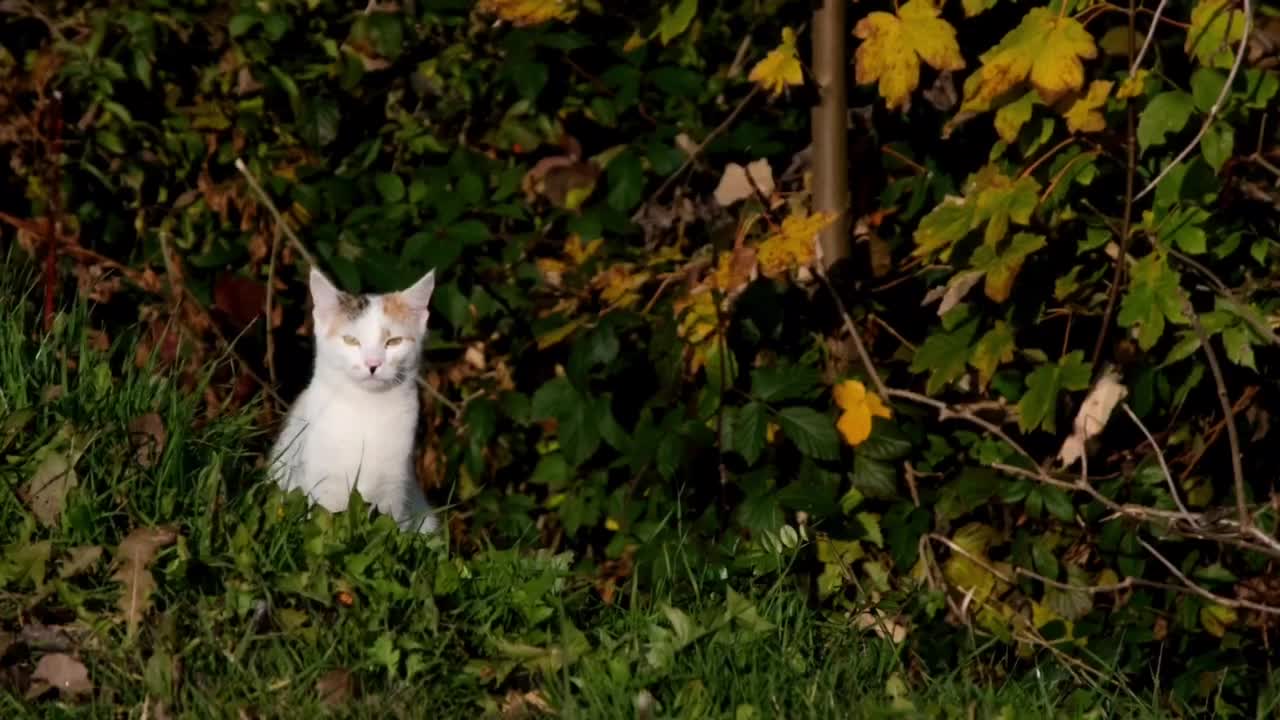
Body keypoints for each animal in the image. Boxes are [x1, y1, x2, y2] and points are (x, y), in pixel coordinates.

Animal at [268, 266, 440, 530]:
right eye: (351, 340)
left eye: (394, 341)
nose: (373, 364)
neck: (366, 409)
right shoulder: (321, 486)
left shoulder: (394, 493)